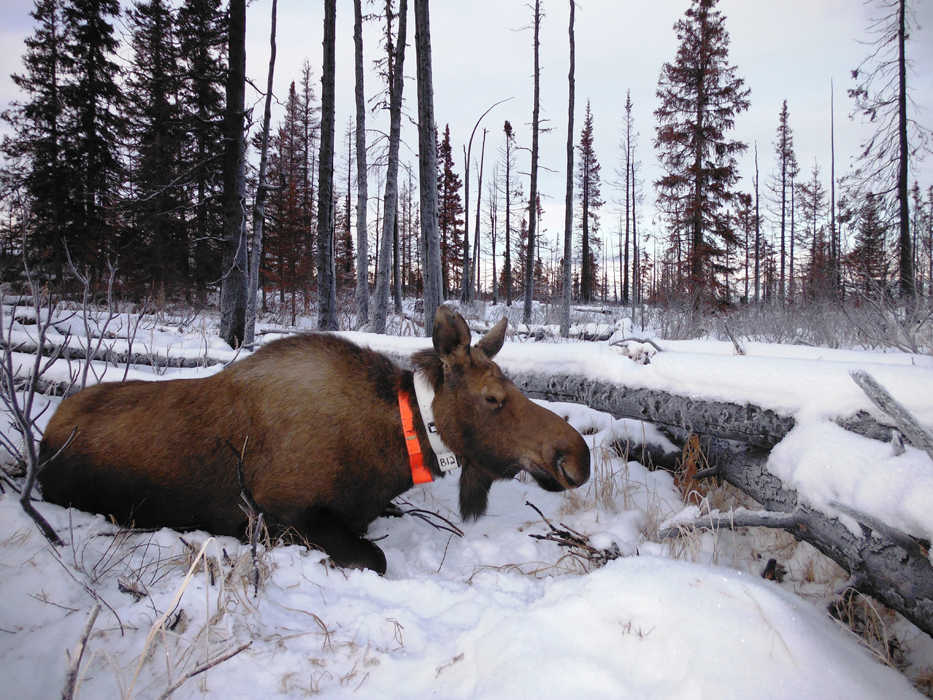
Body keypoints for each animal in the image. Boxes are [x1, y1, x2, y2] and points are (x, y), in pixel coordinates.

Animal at [40, 306, 588, 576]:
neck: (392, 453)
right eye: (494, 397)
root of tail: (46, 433)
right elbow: (375, 558)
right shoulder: (278, 515)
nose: (575, 456)